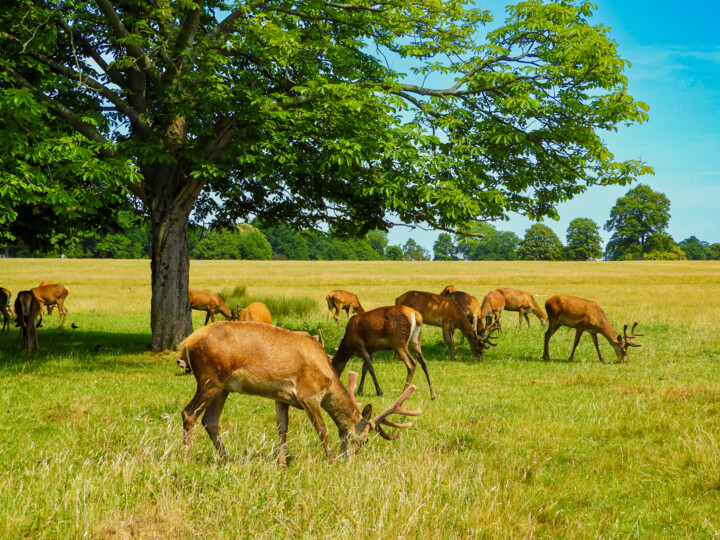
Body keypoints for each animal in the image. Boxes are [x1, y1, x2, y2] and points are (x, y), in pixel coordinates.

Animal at [178, 322, 422, 466]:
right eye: (365, 440)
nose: (350, 461)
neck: (327, 378)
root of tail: (186, 342)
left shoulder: (281, 397)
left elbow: (282, 428)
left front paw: (282, 464)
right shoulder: (309, 395)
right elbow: (322, 429)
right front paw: (331, 460)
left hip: (223, 387)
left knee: (210, 420)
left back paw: (228, 460)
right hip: (210, 378)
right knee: (189, 413)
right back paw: (187, 460)